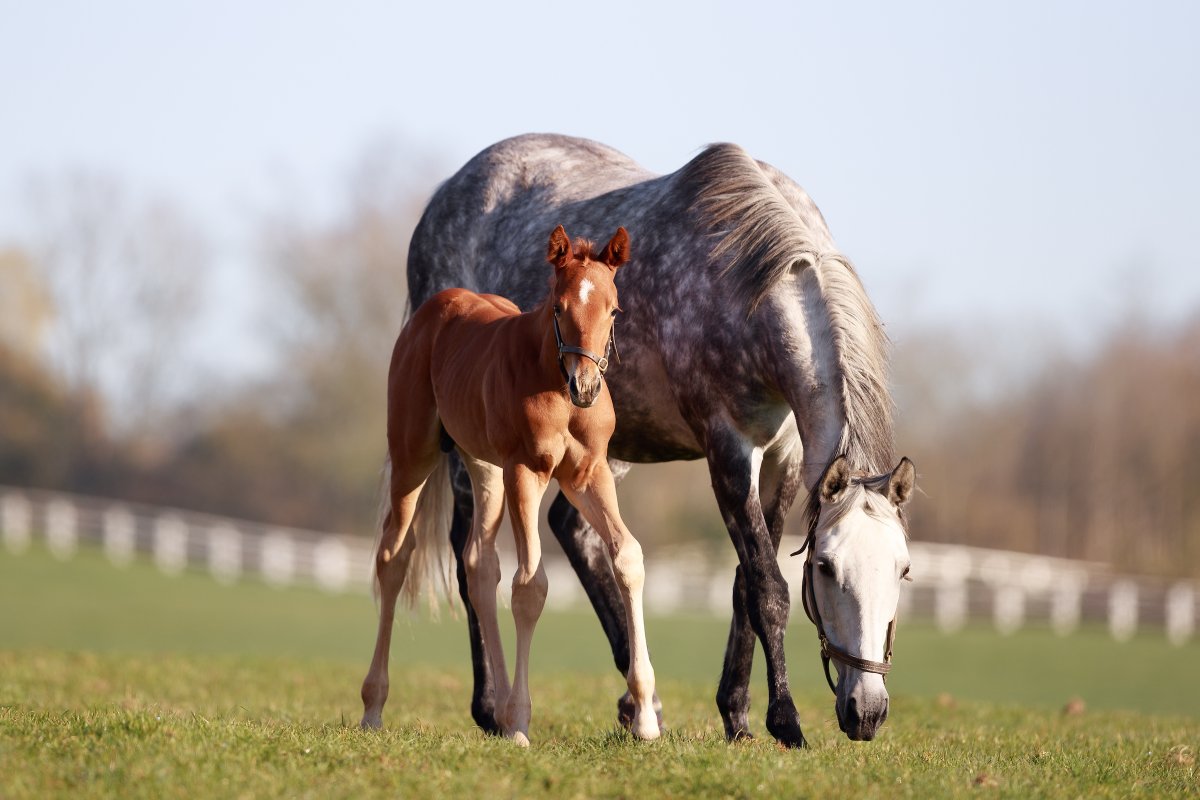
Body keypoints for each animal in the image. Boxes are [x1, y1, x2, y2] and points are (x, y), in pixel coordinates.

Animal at [359, 224, 661, 746]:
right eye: (558, 307)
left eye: (613, 310)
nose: (586, 387)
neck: (554, 383)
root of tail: (434, 309)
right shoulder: (527, 471)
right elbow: (530, 585)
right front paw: (521, 722)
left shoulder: (588, 473)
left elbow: (628, 556)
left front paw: (644, 717)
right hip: (414, 455)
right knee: (394, 556)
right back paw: (374, 707)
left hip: (485, 468)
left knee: (479, 565)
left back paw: (495, 710)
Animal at [404, 134, 916, 746]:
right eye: (826, 568)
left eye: (903, 569)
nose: (867, 711)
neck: (748, 286)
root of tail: (444, 196)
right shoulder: (728, 448)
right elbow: (768, 588)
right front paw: (785, 721)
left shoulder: (784, 459)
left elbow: (745, 583)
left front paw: (737, 715)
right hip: (473, 452)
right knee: (472, 558)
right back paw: (490, 707)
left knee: (576, 532)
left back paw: (637, 703)